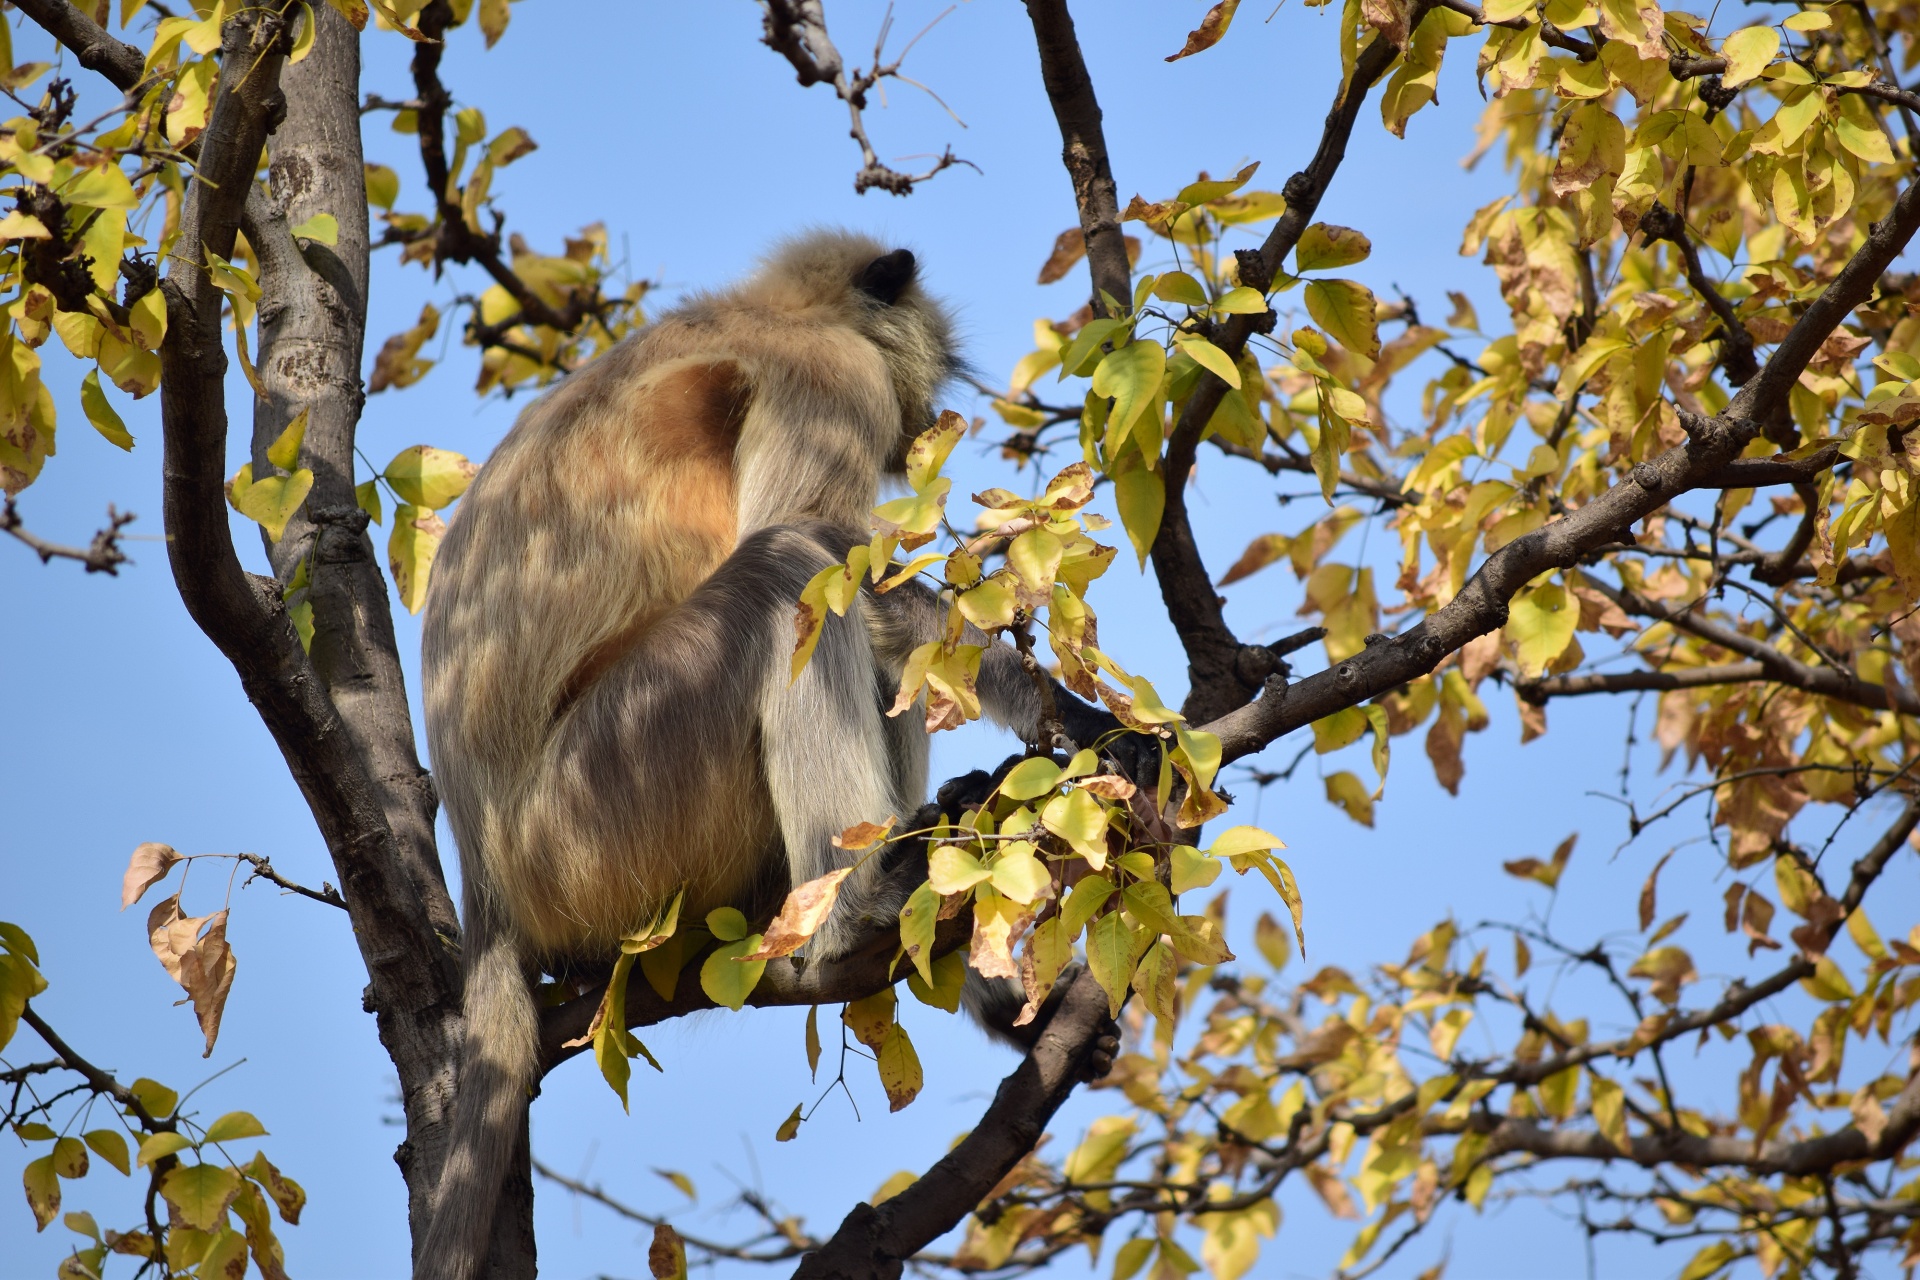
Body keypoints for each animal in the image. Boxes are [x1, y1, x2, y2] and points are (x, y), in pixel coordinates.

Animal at [408, 230, 1121, 1280]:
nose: (929, 419)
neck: (775, 312)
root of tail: (490, 886)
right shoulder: (832, 377)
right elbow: (823, 549)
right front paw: (1075, 717)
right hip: (605, 799)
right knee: (788, 569)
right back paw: (854, 907)